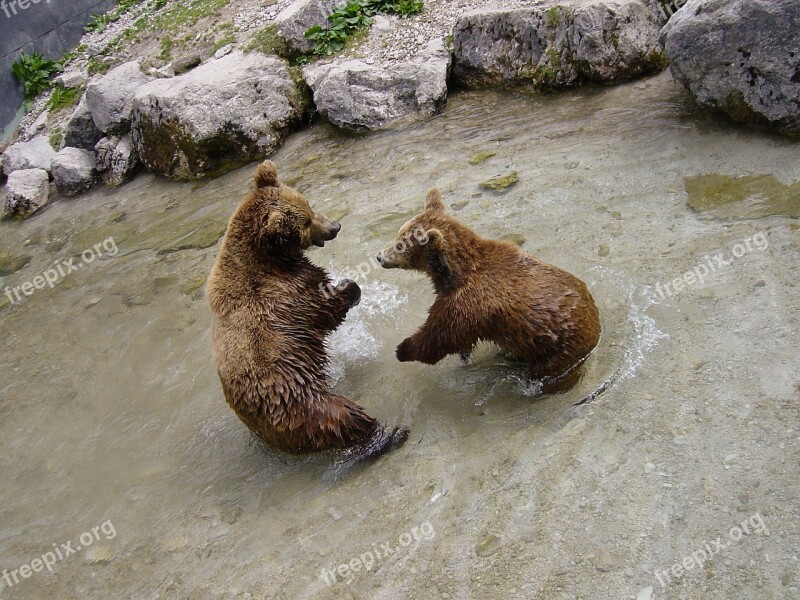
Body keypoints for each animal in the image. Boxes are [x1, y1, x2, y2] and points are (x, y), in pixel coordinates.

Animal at [208, 162, 406, 462]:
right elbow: (323, 311)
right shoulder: (283, 295)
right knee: (337, 416)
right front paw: (349, 286)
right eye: (307, 221)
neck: (271, 260)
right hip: (295, 397)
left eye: (309, 206)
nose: (335, 226)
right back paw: (386, 436)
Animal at [376, 186, 600, 390]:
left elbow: (440, 335)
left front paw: (403, 349)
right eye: (398, 235)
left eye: (400, 244)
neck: (455, 273)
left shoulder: (468, 302)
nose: (379, 256)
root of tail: (596, 326)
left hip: (559, 349)